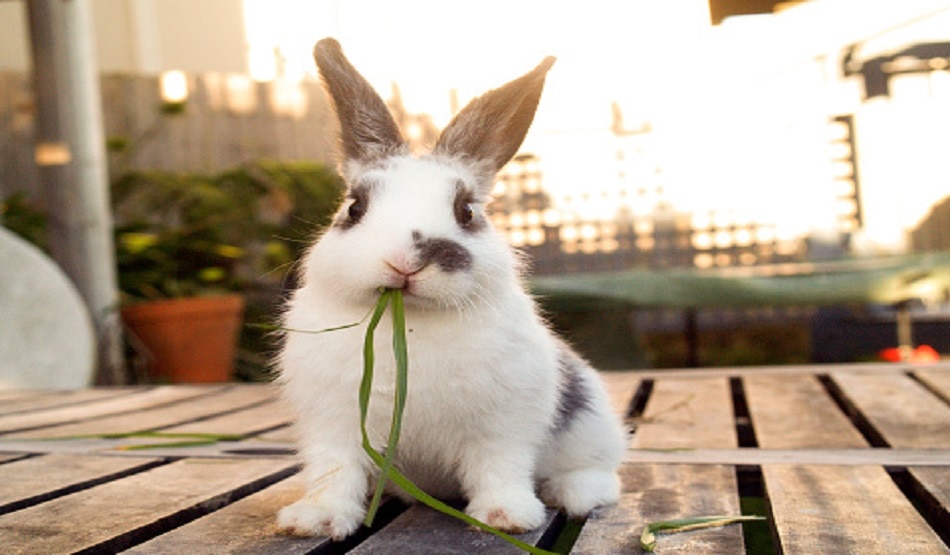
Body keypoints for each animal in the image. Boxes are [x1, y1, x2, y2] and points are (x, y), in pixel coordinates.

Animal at [276, 37, 626, 540]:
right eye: (354, 207)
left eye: (467, 211)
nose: (405, 261)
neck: (409, 324)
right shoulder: (333, 426)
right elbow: (334, 473)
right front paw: (315, 520)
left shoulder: (503, 426)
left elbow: (499, 468)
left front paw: (506, 517)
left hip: (592, 424)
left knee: (600, 472)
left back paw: (574, 493)